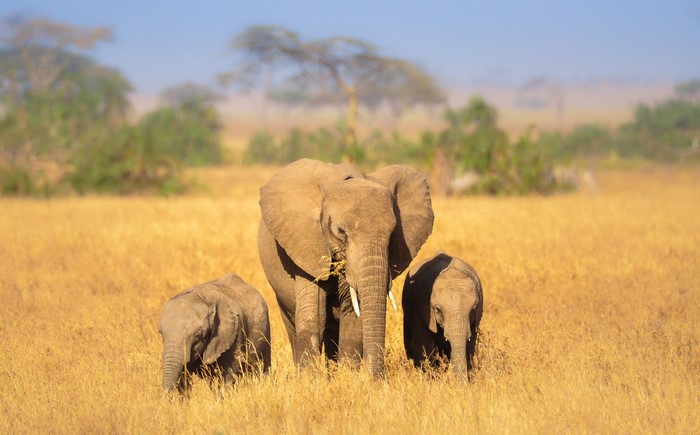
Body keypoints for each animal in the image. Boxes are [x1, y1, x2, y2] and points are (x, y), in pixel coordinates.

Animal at [257, 158, 434, 378]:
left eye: (393, 233)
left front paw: (347, 376)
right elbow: (315, 315)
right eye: (340, 231)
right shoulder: (307, 245)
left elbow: (353, 316)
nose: (376, 378)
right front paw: (309, 380)